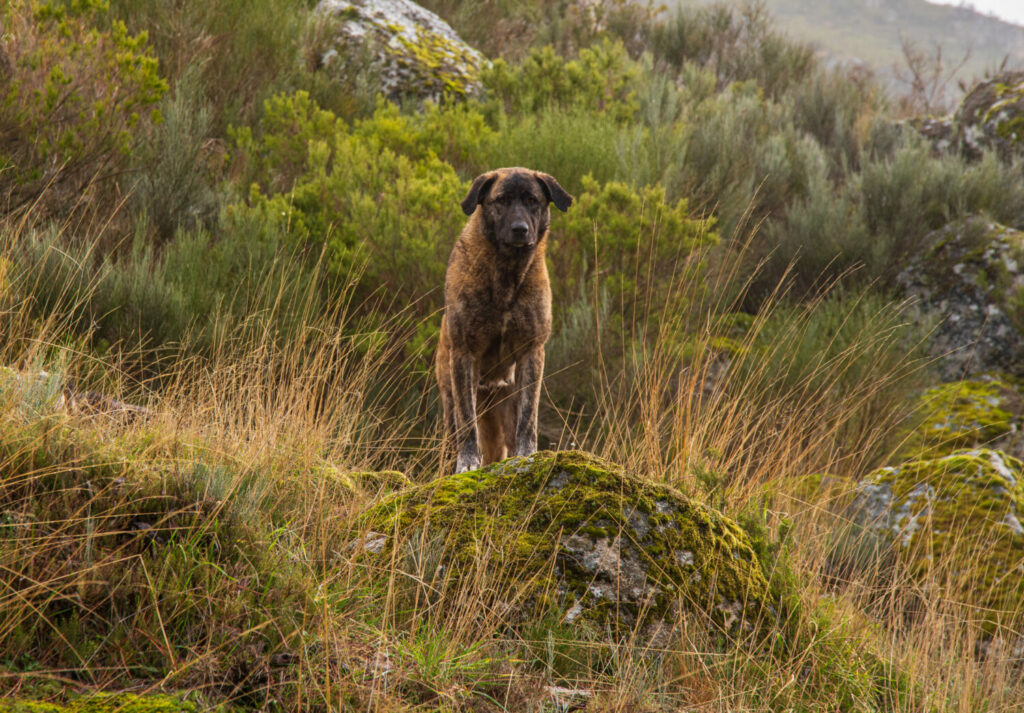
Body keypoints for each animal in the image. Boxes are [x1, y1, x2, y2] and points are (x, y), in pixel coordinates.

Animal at [434, 166, 573, 473]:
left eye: (532, 200)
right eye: (501, 200)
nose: (520, 229)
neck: (507, 274)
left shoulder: (531, 352)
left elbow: (528, 419)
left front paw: (527, 455)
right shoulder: (464, 355)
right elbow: (467, 424)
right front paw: (468, 463)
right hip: (449, 403)